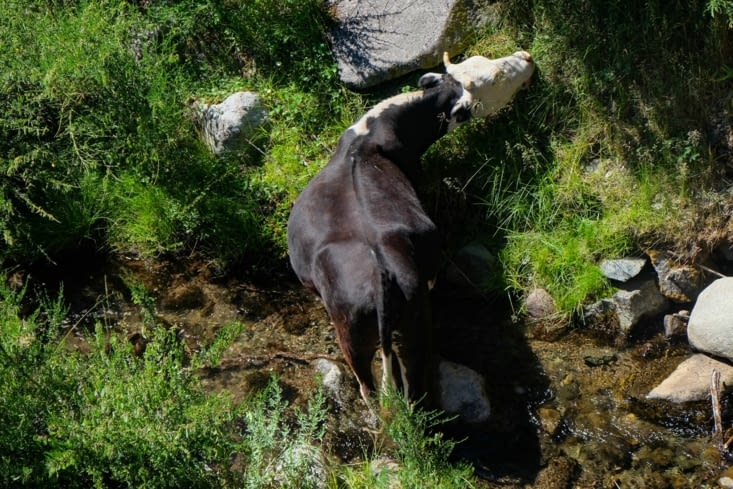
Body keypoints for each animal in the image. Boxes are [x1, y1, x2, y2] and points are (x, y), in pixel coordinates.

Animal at [287, 52, 535, 407]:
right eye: (497, 78)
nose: (526, 57)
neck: (369, 137)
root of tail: (381, 273)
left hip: (370, 336)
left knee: (378, 389)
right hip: (408, 330)